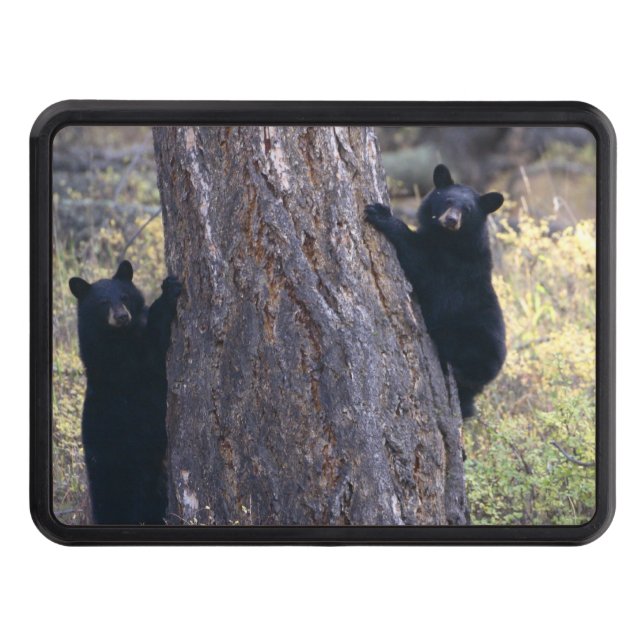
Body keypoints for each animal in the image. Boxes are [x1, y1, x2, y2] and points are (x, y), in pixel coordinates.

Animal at [68, 260, 181, 524]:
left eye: (124, 296)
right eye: (103, 302)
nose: (121, 316)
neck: (120, 335)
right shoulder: (122, 364)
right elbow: (152, 349)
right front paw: (168, 291)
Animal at [365, 164, 506, 419]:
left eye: (467, 210)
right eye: (448, 200)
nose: (451, 220)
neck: (448, 239)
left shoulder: (453, 268)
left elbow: (422, 266)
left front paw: (381, 214)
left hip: (473, 339)